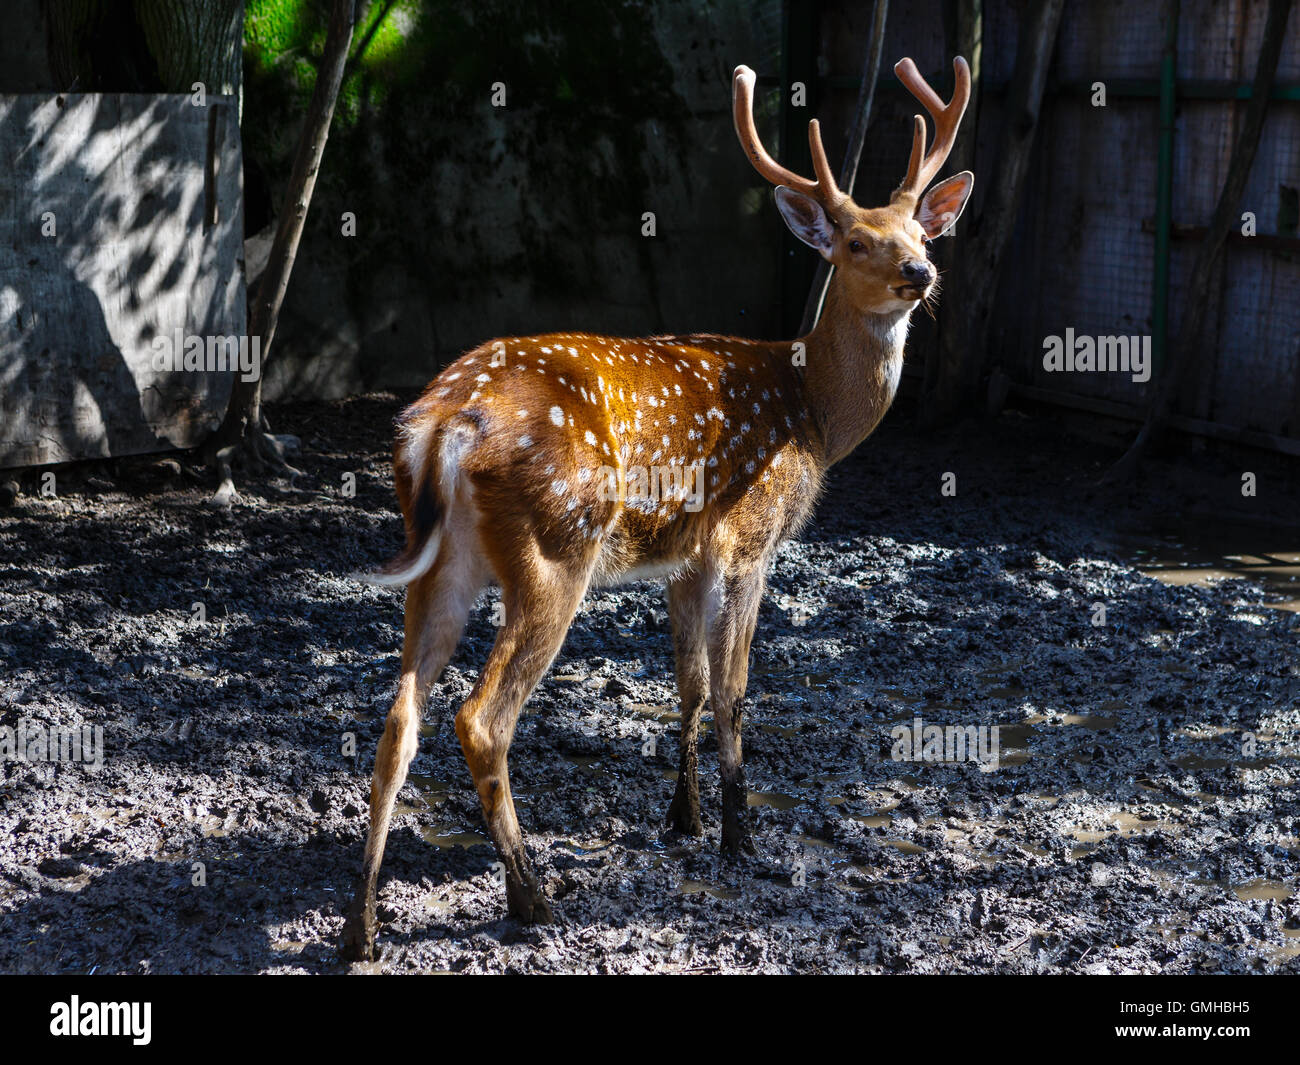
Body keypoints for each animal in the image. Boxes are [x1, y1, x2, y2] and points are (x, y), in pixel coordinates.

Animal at [340, 54, 972, 962]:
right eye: (856, 241)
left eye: (921, 234)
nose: (919, 275)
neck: (813, 414)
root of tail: (442, 424)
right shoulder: (749, 541)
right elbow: (735, 689)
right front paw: (739, 837)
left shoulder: (684, 557)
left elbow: (690, 685)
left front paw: (684, 820)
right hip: (554, 548)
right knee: (481, 718)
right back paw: (534, 897)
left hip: (440, 561)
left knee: (399, 721)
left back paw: (362, 927)